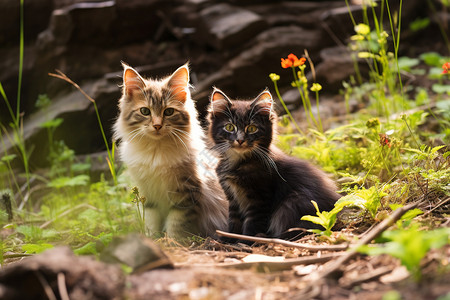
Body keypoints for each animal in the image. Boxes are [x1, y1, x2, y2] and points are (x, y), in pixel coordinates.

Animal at [114, 63, 227, 241]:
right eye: (145, 111)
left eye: (168, 112)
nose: (157, 125)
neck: (156, 152)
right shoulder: (148, 195)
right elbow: (151, 222)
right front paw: (153, 239)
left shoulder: (186, 194)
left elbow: (177, 224)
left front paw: (173, 242)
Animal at [207, 88, 342, 241]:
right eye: (230, 127)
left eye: (252, 128)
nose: (240, 140)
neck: (238, 163)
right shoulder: (233, 198)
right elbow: (233, 220)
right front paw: (228, 239)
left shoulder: (260, 199)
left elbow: (252, 223)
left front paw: (247, 240)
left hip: (291, 203)